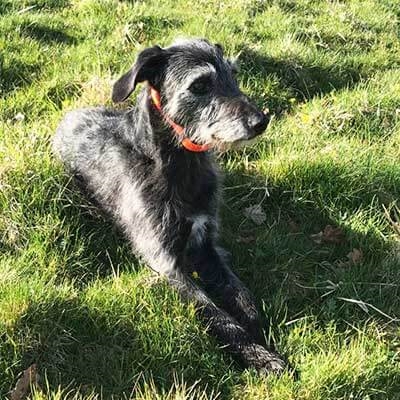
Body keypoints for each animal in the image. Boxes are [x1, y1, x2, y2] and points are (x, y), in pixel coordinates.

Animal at [53, 38, 286, 374]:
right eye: (200, 85)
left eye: (234, 74)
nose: (261, 121)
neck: (179, 167)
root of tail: (68, 116)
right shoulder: (166, 263)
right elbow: (215, 313)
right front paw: (259, 355)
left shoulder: (208, 244)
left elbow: (240, 292)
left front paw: (257, 328)